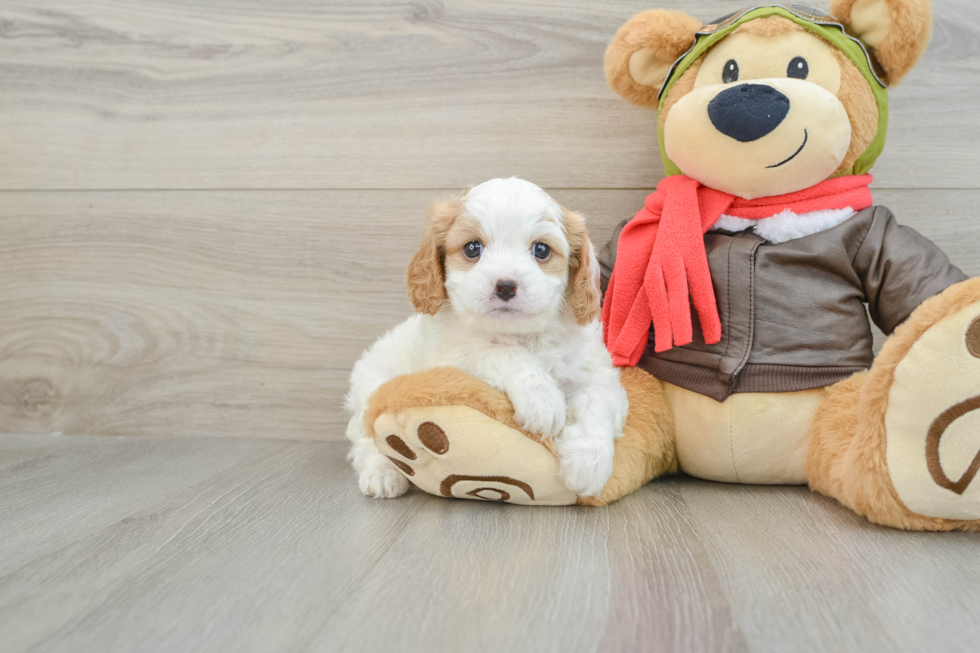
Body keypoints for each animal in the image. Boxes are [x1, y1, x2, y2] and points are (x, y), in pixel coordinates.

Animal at [344, 178, 628, 500]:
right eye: (472, 248)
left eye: (541, 250)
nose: (505, 286)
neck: (520, 334)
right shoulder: (451, 359)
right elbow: (502, 353)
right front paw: (543, 401)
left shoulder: (596, 372)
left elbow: (599, 401)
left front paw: (589, 466)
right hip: (371, 385)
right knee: (367, 438)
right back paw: (383, 473)